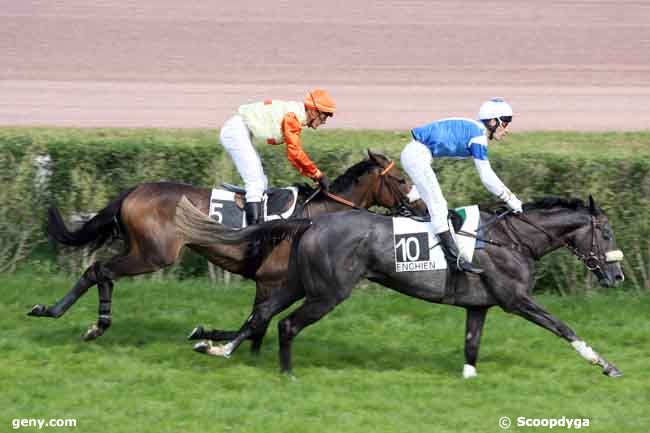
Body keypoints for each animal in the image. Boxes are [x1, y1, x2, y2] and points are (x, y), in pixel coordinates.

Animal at [29, 150, 426, 342]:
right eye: (400, 178)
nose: (422, 207)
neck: (320, 213)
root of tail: (134, 190)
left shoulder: (271, 283)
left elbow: (254, 321)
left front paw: (210, 336)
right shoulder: (269, 279)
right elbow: (254, 321)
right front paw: (211, 338)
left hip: (141, 250)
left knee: (98, 271)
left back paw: (70, 316)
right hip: (154, 254)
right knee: (100, 269)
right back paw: (80, 318)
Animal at [176, 195, 624, 374]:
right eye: (605, 233)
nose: (617, 276)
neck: (511, 240)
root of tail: (313, 221)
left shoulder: (478, 306)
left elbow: (471, 345)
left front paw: (469, 379)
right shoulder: (516, 299)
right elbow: (563, 327)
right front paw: (606, 365)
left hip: (299, 282)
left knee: (262, 315)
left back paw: (215, 346)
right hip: (329, 292)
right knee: (286, 324)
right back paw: (287, 374)